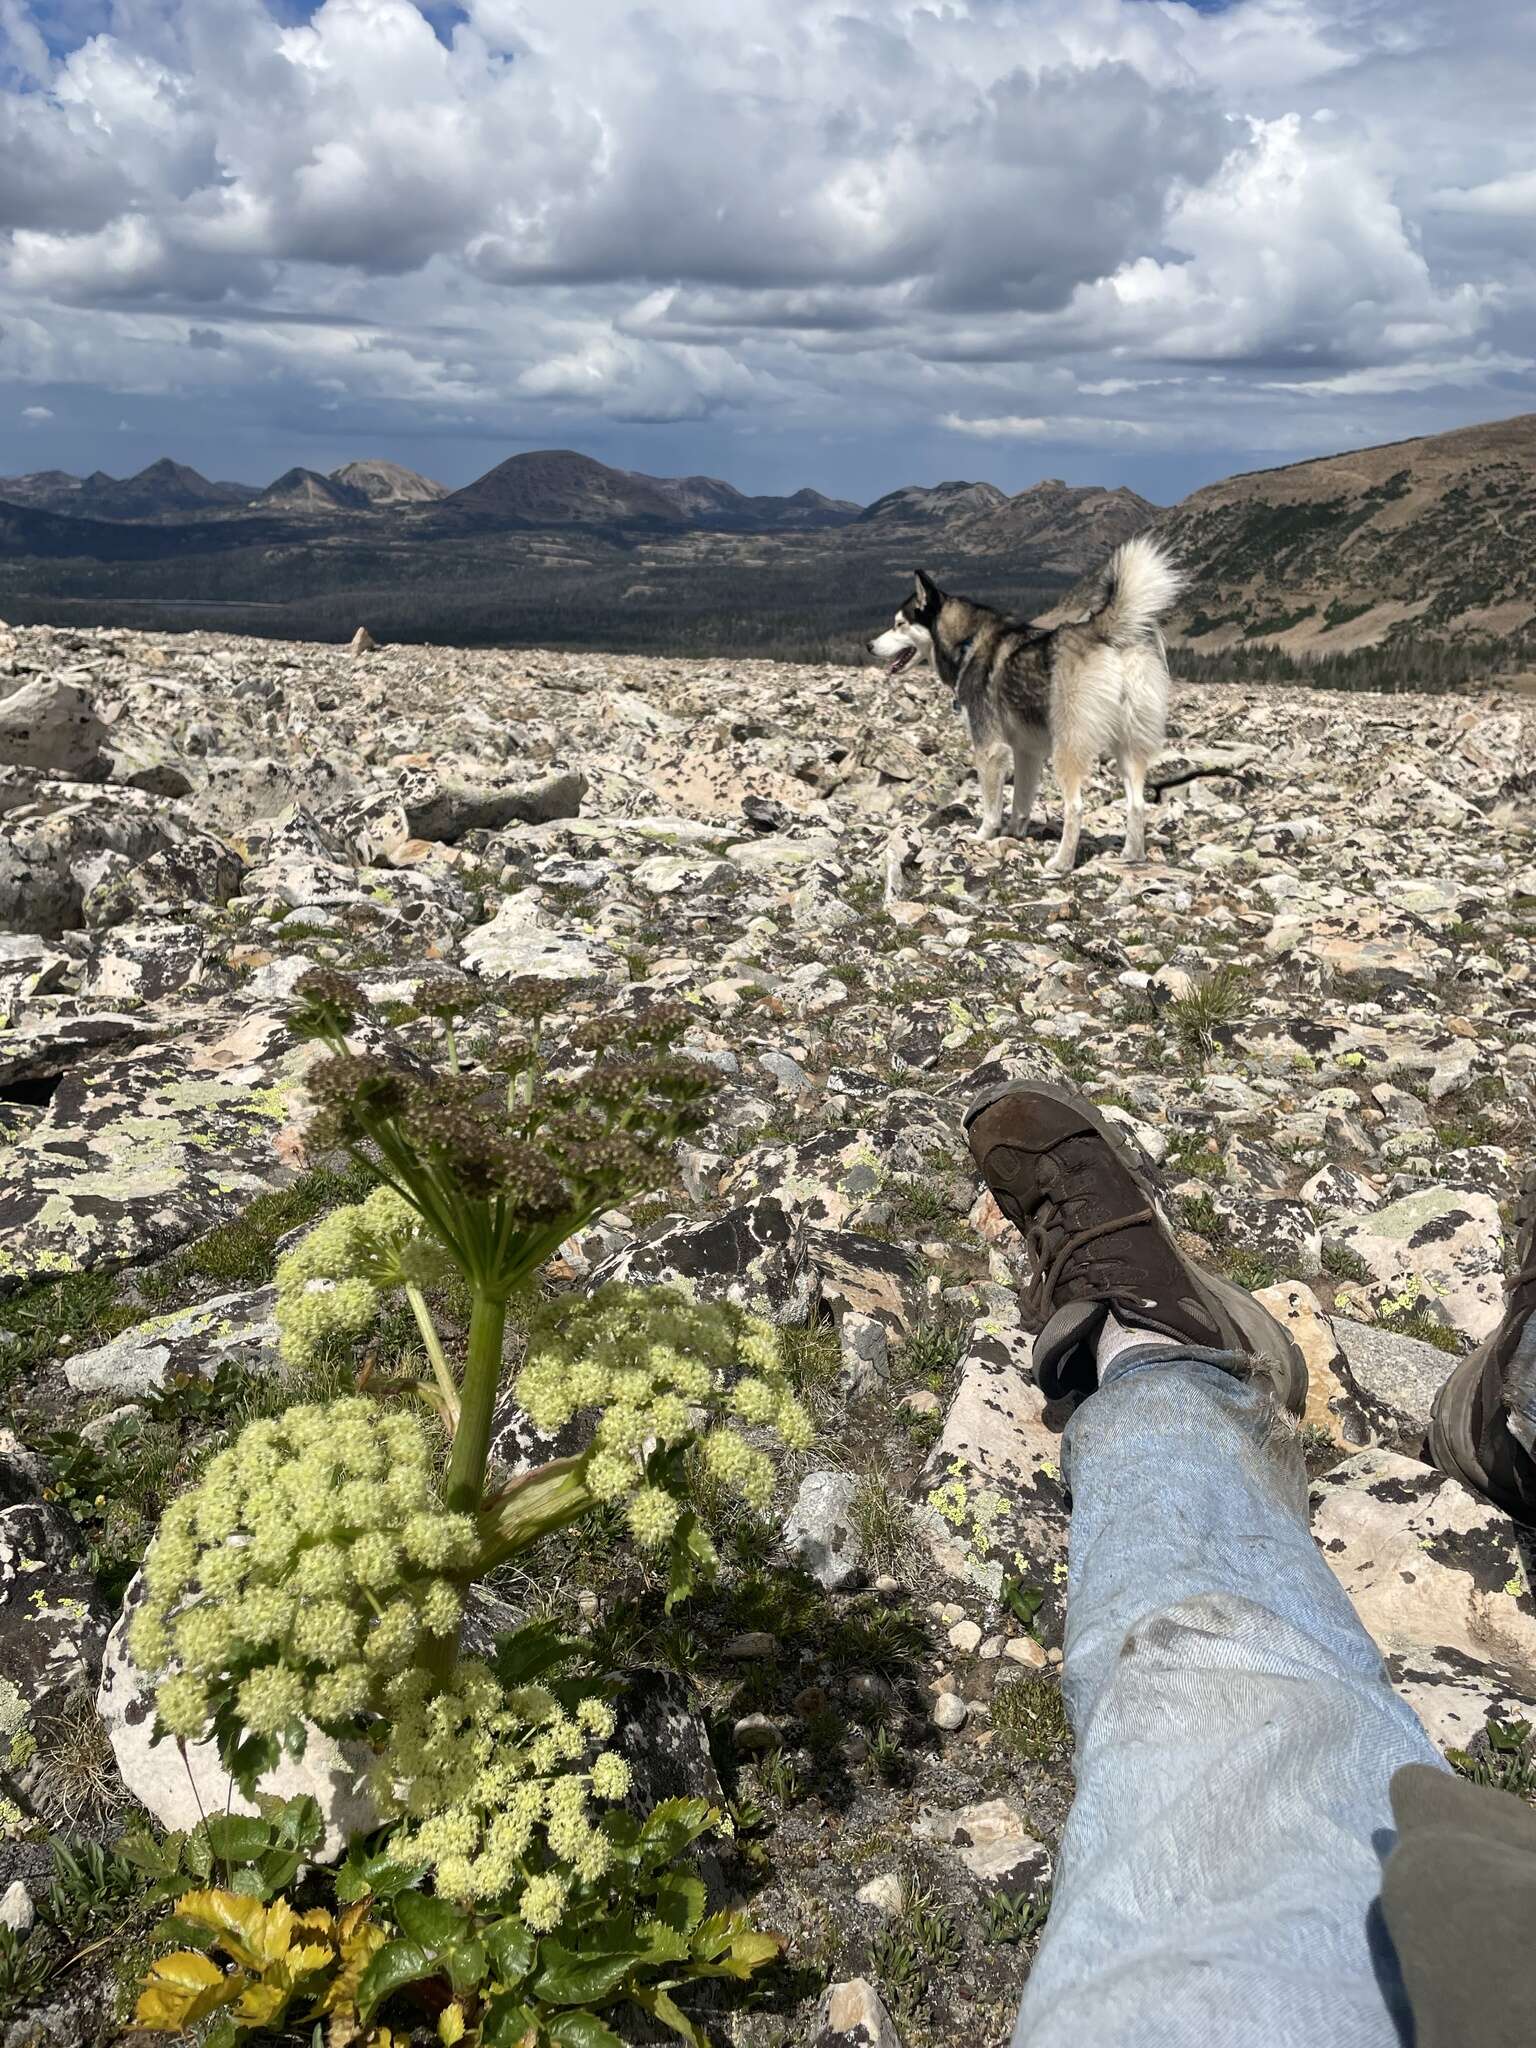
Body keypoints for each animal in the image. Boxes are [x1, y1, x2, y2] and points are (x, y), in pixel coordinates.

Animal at [868, 532, 1187, 876]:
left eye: (899, 624)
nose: (869, 645)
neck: (968, 642)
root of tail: (1104, 633)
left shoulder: (990, 748)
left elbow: (991, 805)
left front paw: (983, 835)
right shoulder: (1027, 752)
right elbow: (1020, 801)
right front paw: (1013, 834)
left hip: (1068, 745)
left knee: (1075, 806)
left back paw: (1062, 862)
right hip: (1128, 745)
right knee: (1137, 802)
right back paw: (1131, 855)